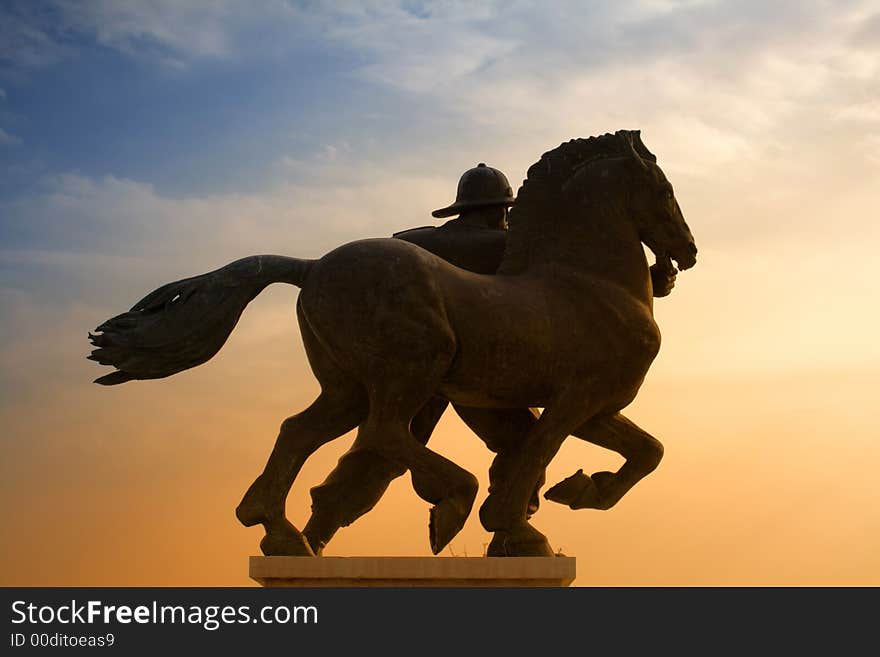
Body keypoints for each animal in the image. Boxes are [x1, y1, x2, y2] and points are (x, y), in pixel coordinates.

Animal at [87, 131, 696, 556]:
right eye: (665, 191)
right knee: (381, 434)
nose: (687, 252)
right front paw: (521, 526)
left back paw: (283, 534)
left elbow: (649, 451)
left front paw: (582, 490)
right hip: (410, 370)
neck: (591, 281)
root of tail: (312, 266)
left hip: (348, 387)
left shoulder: (599, 408)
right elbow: (538, 454)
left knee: (301, 432)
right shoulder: (574, 400)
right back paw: (449, 503)